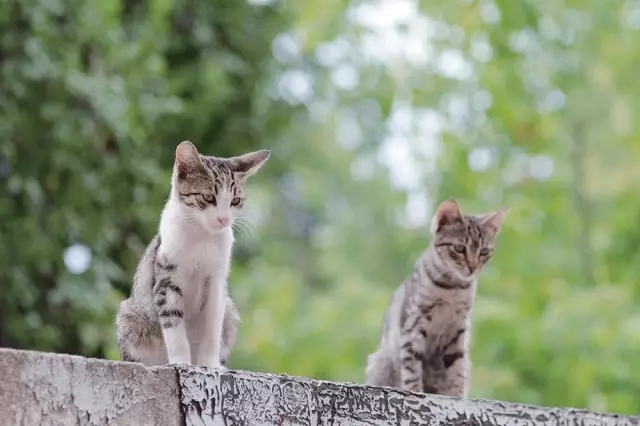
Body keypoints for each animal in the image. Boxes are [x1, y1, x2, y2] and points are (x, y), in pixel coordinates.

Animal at [116, 141, 268, 368]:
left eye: (235, 201)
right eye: (208, 197)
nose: (224, 219)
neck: (201, 236)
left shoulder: (217, 281)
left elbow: (213, 326)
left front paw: (210, 365)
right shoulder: (166, 279)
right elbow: (173, 324)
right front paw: (181, 362)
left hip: (230, 311)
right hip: (129, 318)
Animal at [364, 199, 510, 396]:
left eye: (484, 252)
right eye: (459, 248)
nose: (473, 267)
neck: (452, 288)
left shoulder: (458, 331)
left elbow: (457, 369)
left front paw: (456, 396)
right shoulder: (413, 327)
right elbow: (412, 367)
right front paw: (416, 391)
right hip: (380, 361)